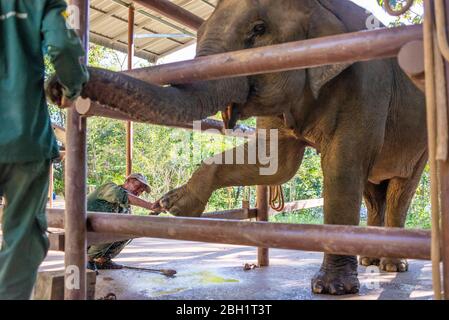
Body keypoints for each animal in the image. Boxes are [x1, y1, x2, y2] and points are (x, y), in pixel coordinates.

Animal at [47, 0, 426, 296]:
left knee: (399, 188)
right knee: (372, 189)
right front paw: (177, 204)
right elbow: (275, 163)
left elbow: (342, 165)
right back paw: (369, 259)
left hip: (418, 141)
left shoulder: (365, 82)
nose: (56, 87)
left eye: (258, 30)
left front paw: (330, 288)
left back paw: (391, 266)